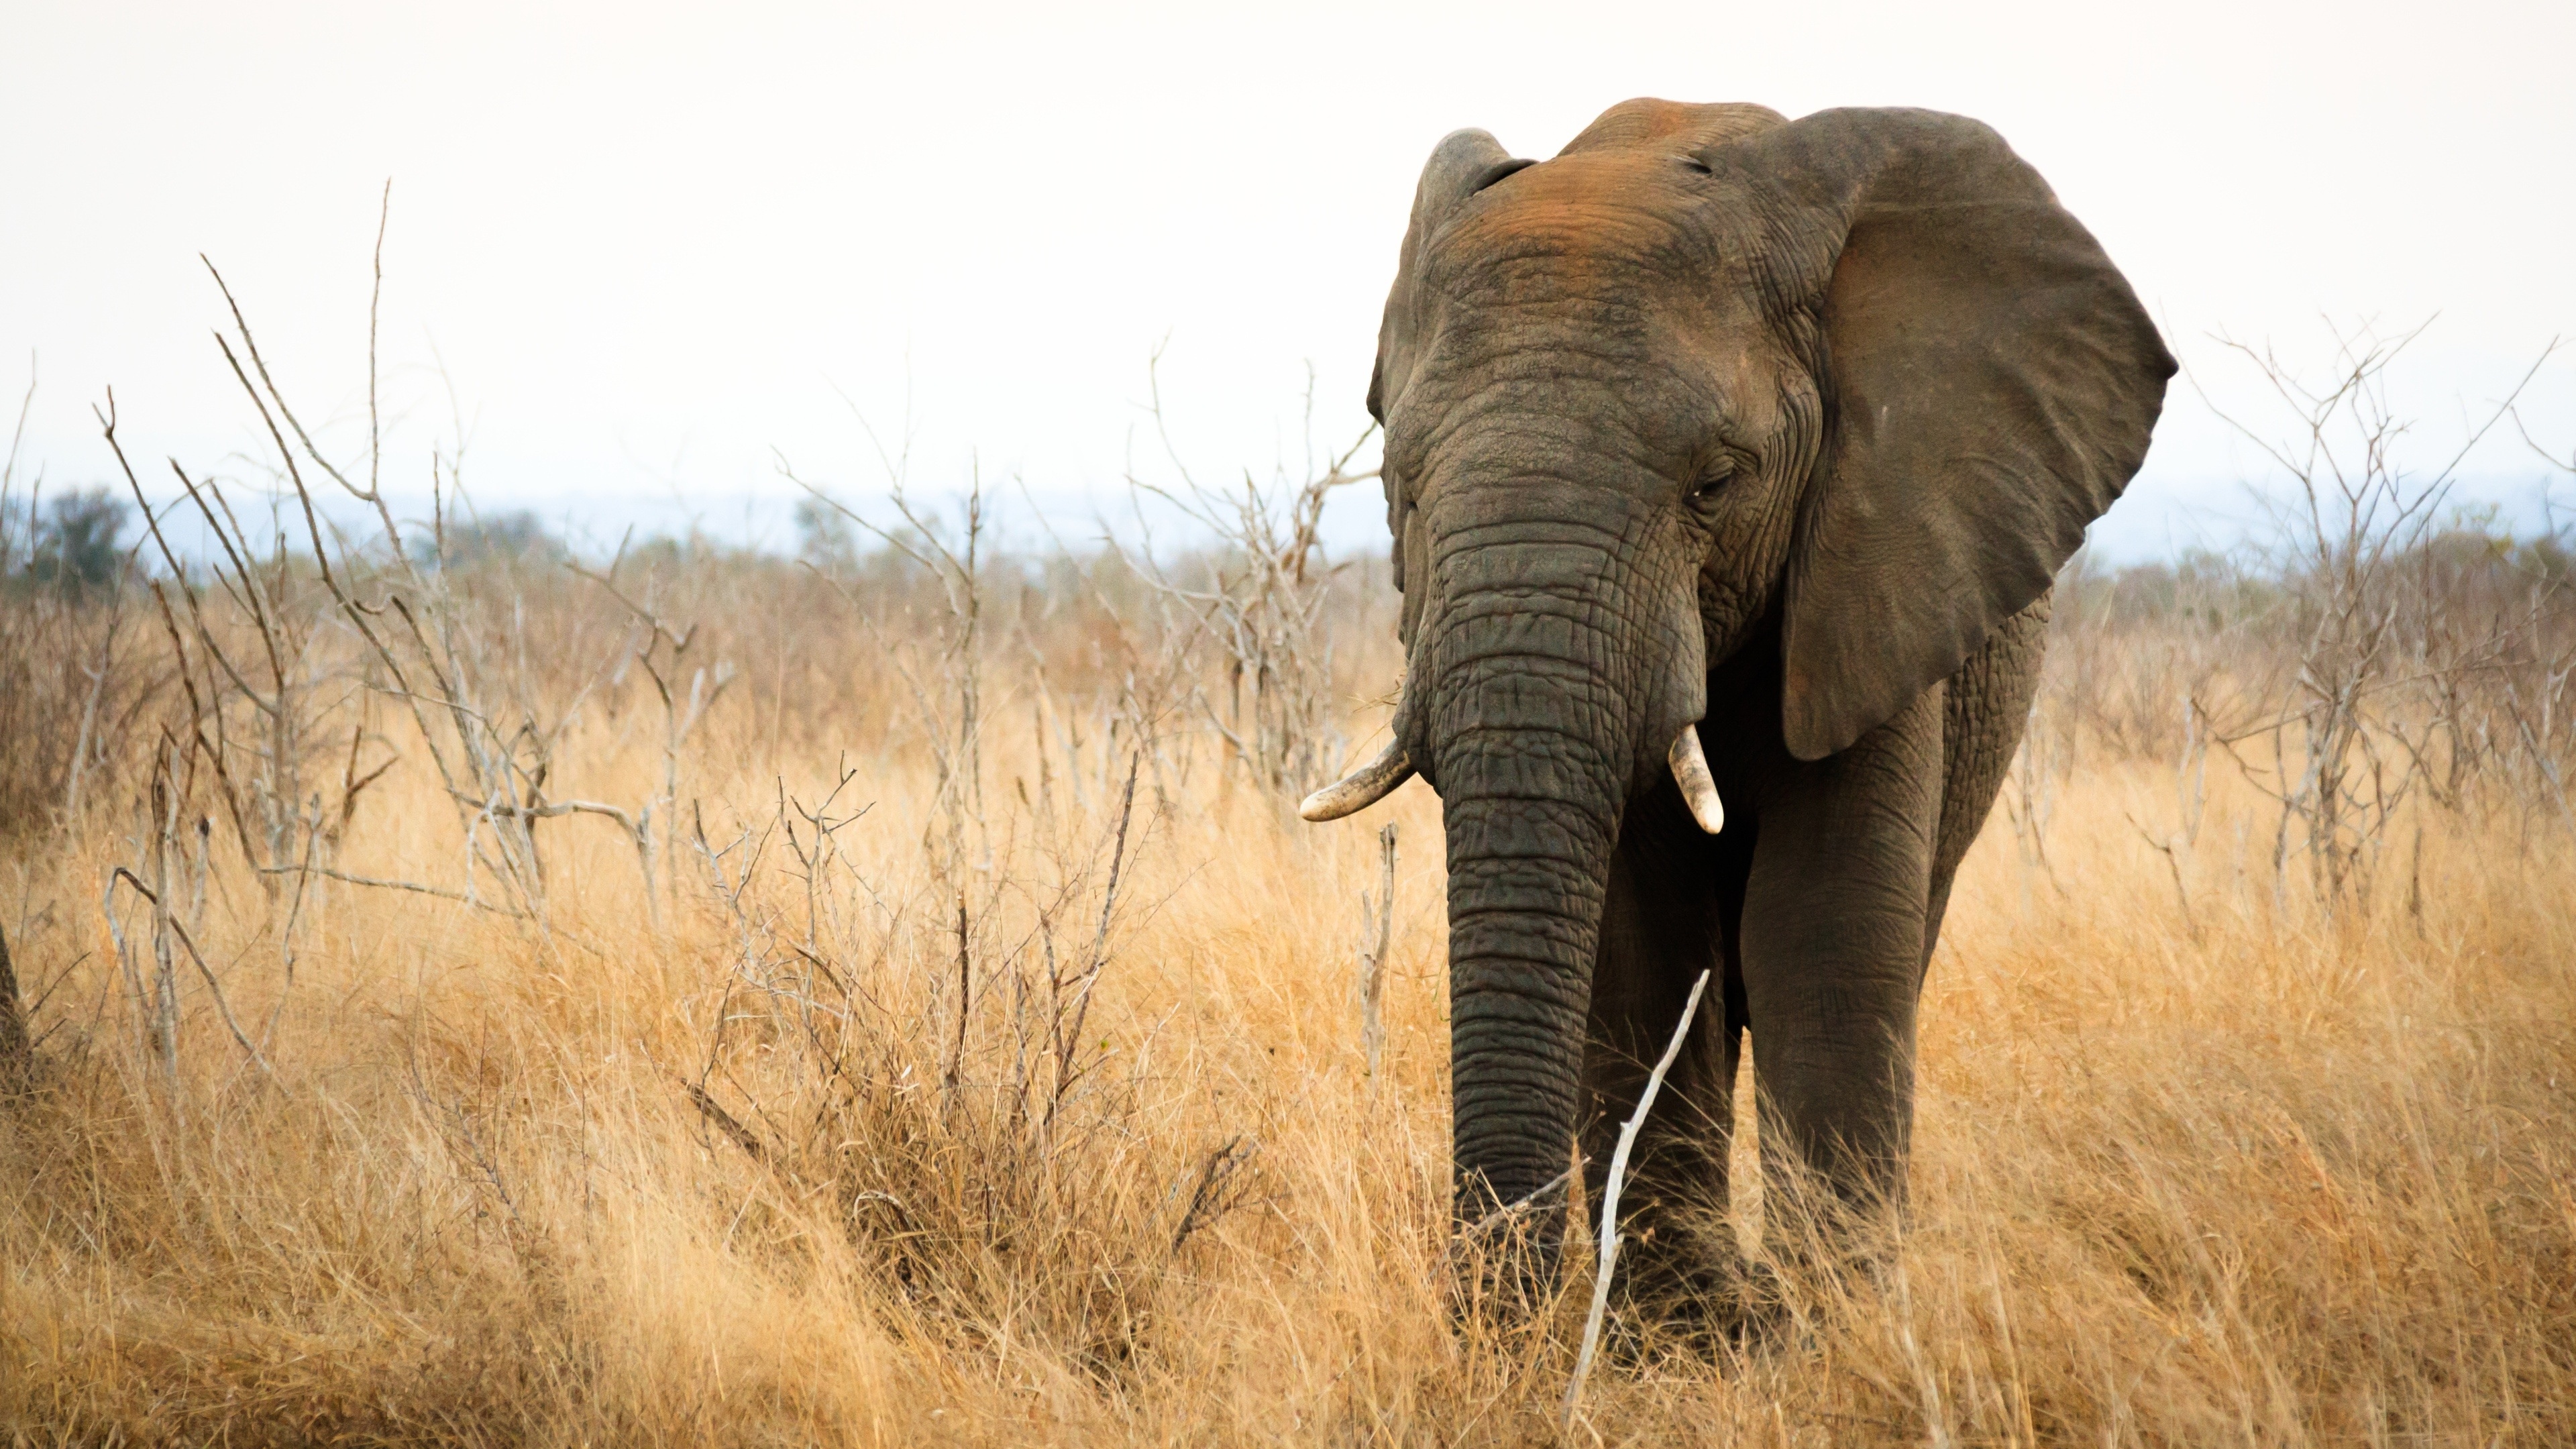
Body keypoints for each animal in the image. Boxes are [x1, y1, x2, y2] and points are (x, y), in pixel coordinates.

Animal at [1308, 96, 2174, 1304]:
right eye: (1402, 485)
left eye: (1715, 483)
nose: (1504, 1316)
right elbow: (1645, 951)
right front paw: (1688, 1322)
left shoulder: (1881, 564)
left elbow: (1823, 928)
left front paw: (1831, 1323)